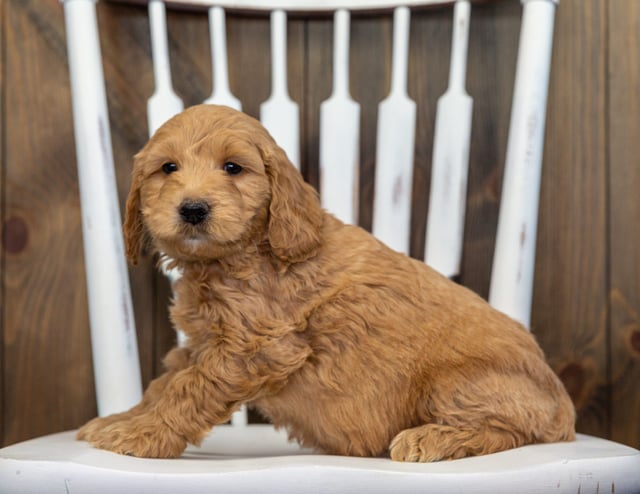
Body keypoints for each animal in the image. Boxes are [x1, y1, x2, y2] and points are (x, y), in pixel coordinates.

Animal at [76, 105, 576, 464]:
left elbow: (187, 390)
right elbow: (162, 385)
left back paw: (433, 439)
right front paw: (121, 420)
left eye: (233, 168)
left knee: (511, 431)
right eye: (168, 168)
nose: (193, 209)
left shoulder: (256, 348)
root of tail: (565, 410)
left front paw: (140, 434)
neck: (248, 251)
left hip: (453, 384)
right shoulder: (202, 344)